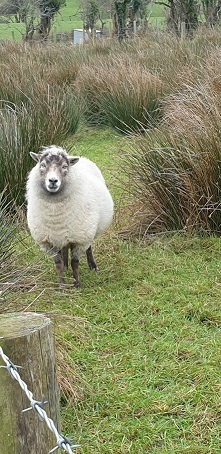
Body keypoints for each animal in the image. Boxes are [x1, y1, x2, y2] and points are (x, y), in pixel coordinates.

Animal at [25, 146, 114, 288]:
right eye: (42, 165)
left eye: (65, 166)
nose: (53, 181)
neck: (55, 213)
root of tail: (82, 158)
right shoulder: (48, 242)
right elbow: (58, 264)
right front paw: (61, 285)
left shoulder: (80, 239)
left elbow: (75, 263)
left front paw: (77, 284)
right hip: (63, 235)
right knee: (64, 249)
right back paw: (66, 267)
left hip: (87, 231)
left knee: (88, 248)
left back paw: (93, 266)